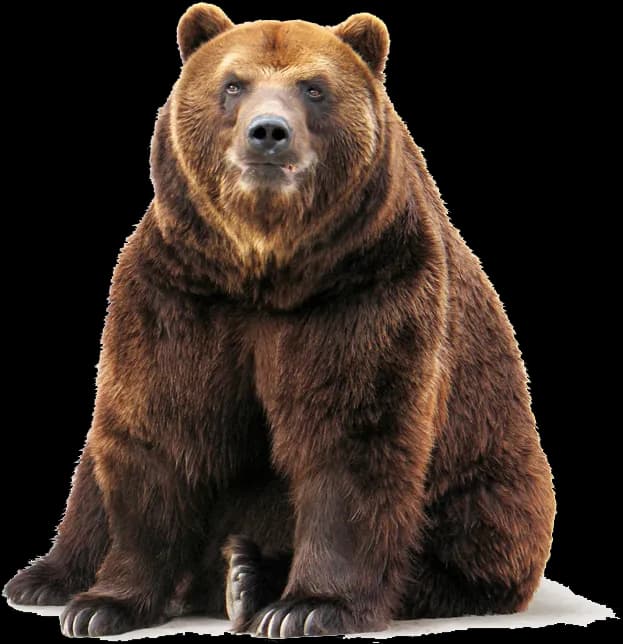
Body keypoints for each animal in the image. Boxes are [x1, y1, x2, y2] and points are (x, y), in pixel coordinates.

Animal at [4, 3, 556, 638]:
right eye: (233, 84)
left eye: (314, 88)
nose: (268, 132)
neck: (265, 270)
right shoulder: (181, 294)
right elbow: (160, 428)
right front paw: (103, 604)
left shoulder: (365, 291)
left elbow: (351, 436)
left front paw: (308, 605)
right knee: (93, 473)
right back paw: (49, 577)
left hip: (491, 477)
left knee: (467, 537)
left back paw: (249, 576)